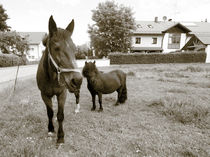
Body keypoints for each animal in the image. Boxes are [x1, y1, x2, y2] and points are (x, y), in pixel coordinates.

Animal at [36, 15, 82, 145]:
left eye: (74, 48)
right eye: (56, 48)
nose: (77, 80)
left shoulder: (62, 93)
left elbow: (61, 114)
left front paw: (60, 137)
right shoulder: (44, 95)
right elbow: (50, 112)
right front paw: (51, 129)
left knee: (77, 94)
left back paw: (77, 108)